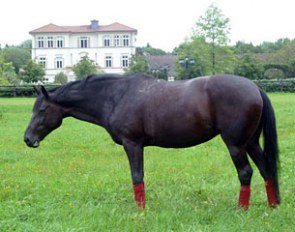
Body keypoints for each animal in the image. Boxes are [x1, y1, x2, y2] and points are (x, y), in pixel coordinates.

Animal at [24, 74, 280, 208]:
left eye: (43, 109)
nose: (28, 139)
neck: (116, 96)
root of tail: (254, 87)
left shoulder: (133, 144)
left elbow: (137, 176)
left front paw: (141, 210)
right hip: (251, 142)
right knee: (266, 169)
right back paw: (273, 205)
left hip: (235, 144)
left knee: (246, 172)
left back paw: (242, 209)